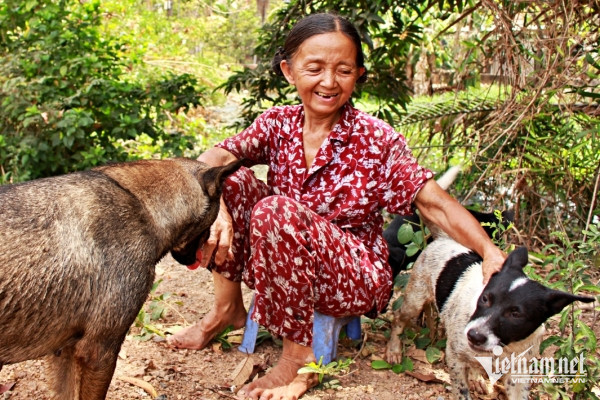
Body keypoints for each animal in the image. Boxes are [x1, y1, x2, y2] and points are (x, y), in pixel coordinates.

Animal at [386, 236, 592, 398]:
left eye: (516, 314)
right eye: (485, 298)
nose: (473, 336)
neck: (504, 346)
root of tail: (442, 239)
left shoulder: (519, 372)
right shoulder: (454, 357)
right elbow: (461, 392)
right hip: (415, 299)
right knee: (398, 318)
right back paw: (394, 350)